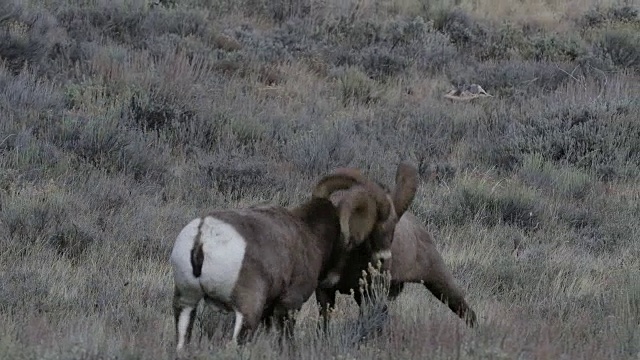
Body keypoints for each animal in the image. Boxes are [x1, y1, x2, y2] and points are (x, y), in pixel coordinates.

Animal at [168, 171, 392, 352]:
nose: (383, 257)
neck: (309, 232)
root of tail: (202, 236)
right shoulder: (288, 305)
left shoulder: (269, 312)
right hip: (247, 312)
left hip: (186, 302)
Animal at [318, 163, 478, 334]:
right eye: (373, 223)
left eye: (393, 225)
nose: (384, 258)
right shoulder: (325, 293)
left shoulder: (369, 294)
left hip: (440, 283)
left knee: (467, 312)